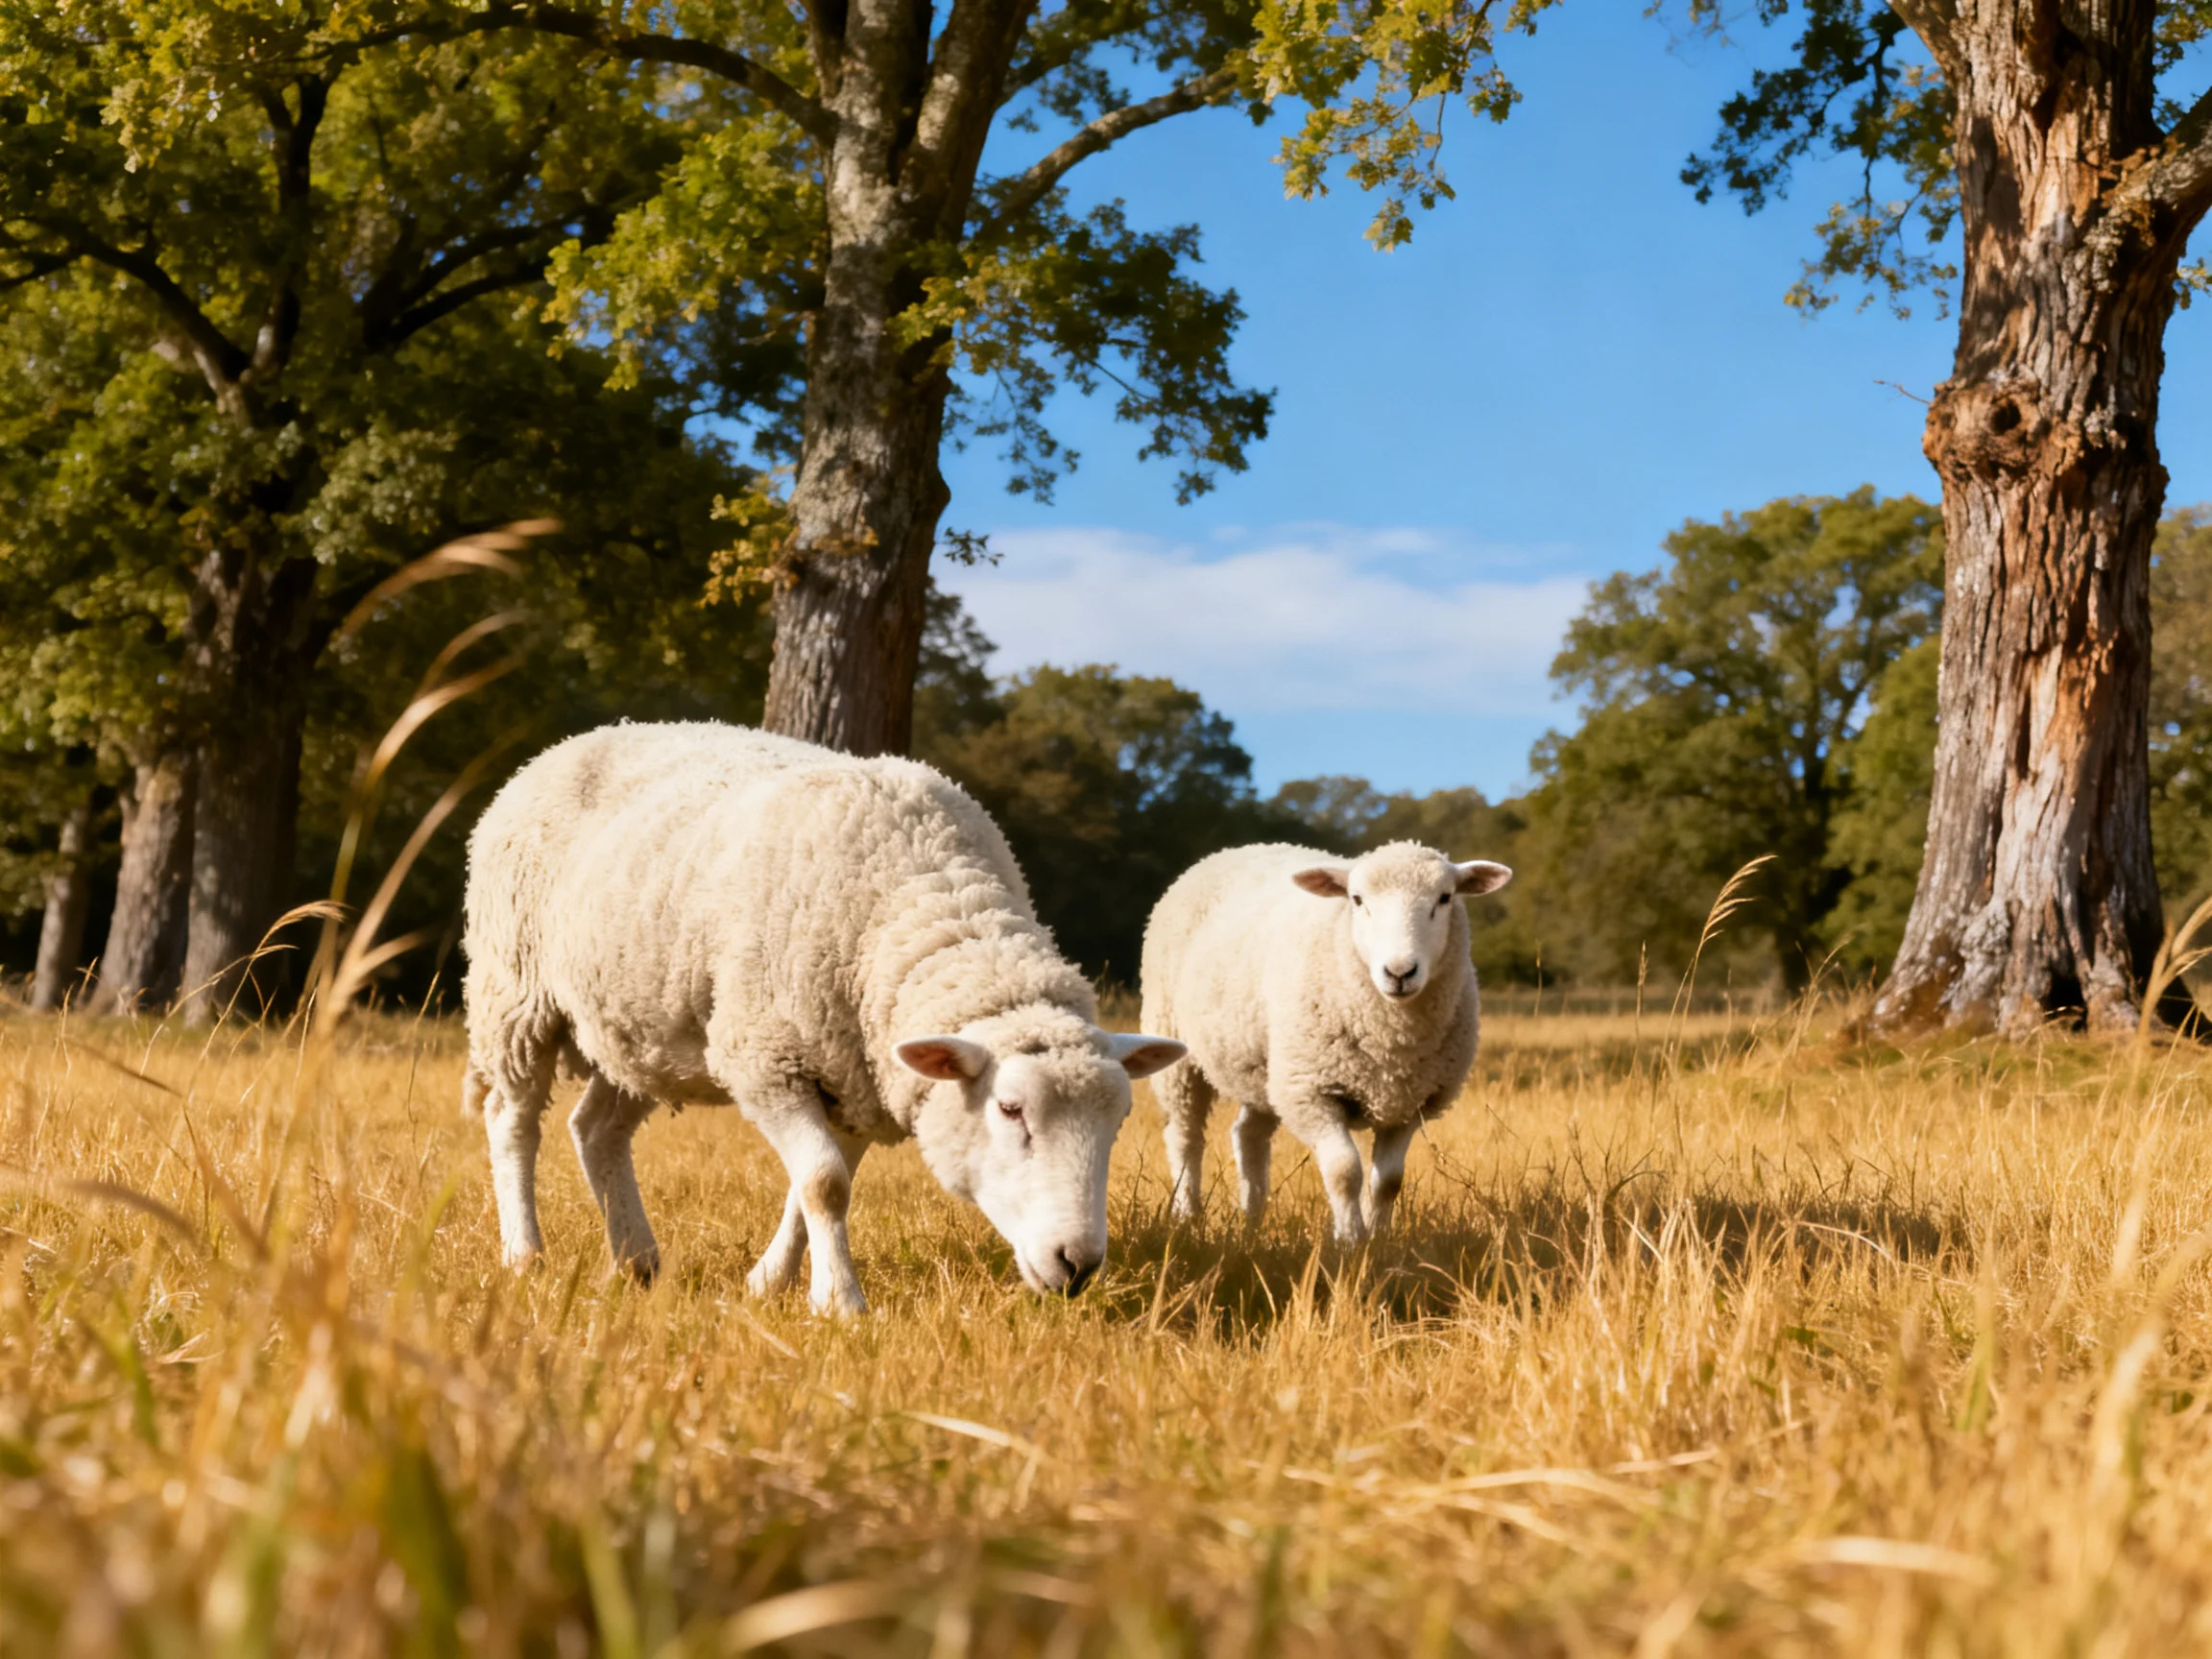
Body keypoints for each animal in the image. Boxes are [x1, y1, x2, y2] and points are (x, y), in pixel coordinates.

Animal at [462, 721, 1186, 1315]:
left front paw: (770, 1282)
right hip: (514, 991)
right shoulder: (765, 1058)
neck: (922, 898)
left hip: (640, 1028)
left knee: (596, 1130)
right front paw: (839, 1302)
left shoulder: (859, 1074)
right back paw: (525, 1254)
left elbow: (813, 1186)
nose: (1079, 1264)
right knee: (512, 1122)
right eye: (1010, 1110)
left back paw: (636, 1260)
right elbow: (823, 1182)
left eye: (1119, 1120)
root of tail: (565, 744)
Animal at [1139, 841, 1511, 1243]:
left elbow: (1388, 1183)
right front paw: (1350, 1241)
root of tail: (1235, 848)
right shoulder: (1311, 1093)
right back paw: (1187, 1217)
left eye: (1445, 898)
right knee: (1184, 1137)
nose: (1399, 972)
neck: (1392, 1039)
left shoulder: (1408, 1104)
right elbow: (1344, 1172)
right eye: (1357, 899)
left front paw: (1379, 1239)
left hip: (1268, 1070)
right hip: (1177, 1052)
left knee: (1248, 1134)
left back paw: (1252, 1221)